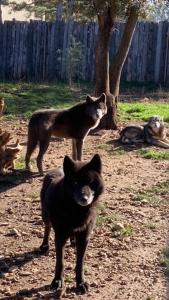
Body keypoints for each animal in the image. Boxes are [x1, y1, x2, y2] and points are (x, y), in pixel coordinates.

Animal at [39, 155, 104, 296]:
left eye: (91, 182)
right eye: (75, 183)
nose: (84, 199)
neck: (76, 210)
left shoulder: (84, 237)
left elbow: (80, 263)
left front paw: (80, 283)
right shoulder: (60, 237)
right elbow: (60, 263)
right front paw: (57, 281)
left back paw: (73, 241)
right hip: (45, 215)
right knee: (47, 228)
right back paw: (44, 245)